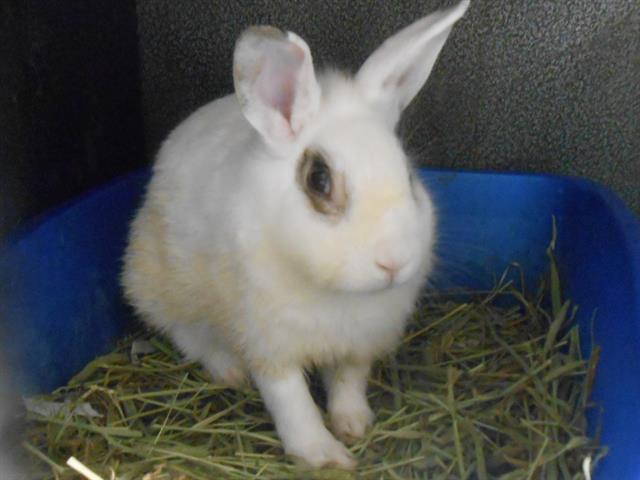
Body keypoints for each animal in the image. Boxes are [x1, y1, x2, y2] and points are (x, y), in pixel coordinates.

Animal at [121, 0, 470, 468]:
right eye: (318, 180)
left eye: (409, 174)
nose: (394, 262)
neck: (335, 292)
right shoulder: (269, 344)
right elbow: (291, 401)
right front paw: (324, 456)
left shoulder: (358, 345)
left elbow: (348, 383)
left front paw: (354, 424)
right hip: (159, 283)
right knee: (187, 333)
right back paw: (228, 370)